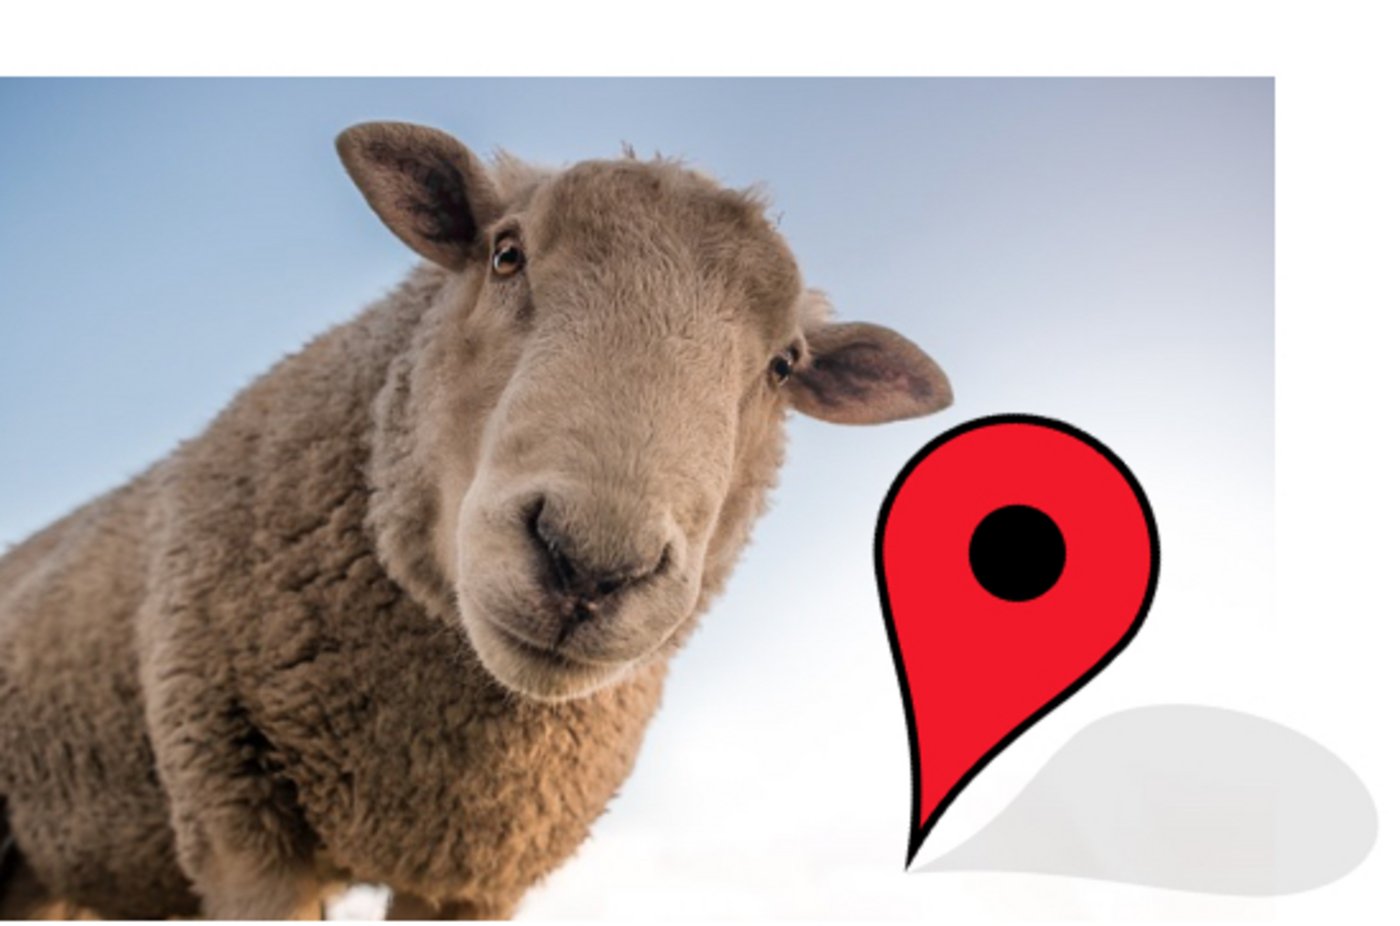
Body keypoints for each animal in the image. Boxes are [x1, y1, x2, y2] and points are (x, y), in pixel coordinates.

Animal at [0, 121, 953, 919]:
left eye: (785, 364)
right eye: (505, 253)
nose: (588, 566)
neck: (428, 751)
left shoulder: (472, 872)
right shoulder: (242, 821)